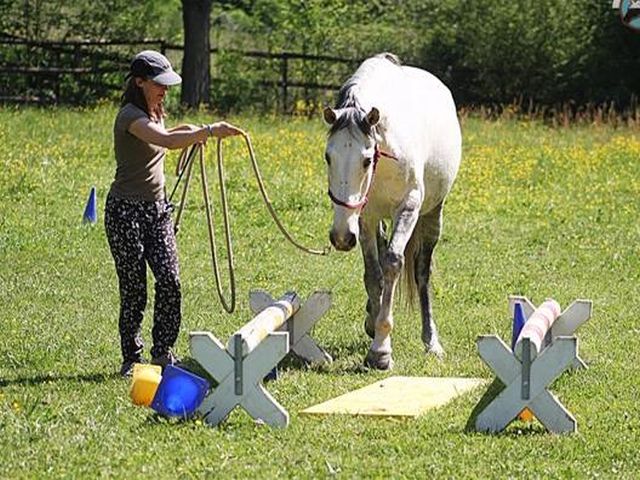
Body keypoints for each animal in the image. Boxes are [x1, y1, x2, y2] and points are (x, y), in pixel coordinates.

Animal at [324, 52, 460, 370]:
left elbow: (394, 263)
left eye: (366, 159)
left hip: (431, 215)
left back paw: (432, 342)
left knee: (422, 272)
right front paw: (373, 324)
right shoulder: (364, 217)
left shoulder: (408, 208)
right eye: (327, 157)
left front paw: (381, 350)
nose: (340, 237)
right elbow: (373, 273)